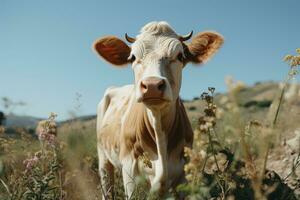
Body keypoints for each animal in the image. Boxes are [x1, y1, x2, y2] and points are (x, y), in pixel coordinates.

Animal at [94, 20, 223, 198]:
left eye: (180, 56)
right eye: (133, 57)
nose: (152, 85)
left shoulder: (183, 174)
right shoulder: (129, 172)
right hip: (103, 159)